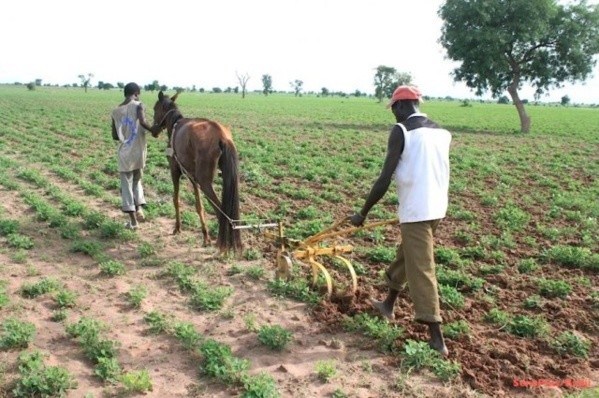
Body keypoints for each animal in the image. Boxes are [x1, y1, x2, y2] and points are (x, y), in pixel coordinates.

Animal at [151, 90, 243, 253]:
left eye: (155, 109)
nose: (153, 131)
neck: (175, 125)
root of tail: (221, 135)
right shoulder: (193, 177)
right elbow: (199, 206)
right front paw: (205, 236)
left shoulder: (175, 170)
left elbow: (176, 199)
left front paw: (177, 228)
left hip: (205, 182)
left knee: (221, 211)